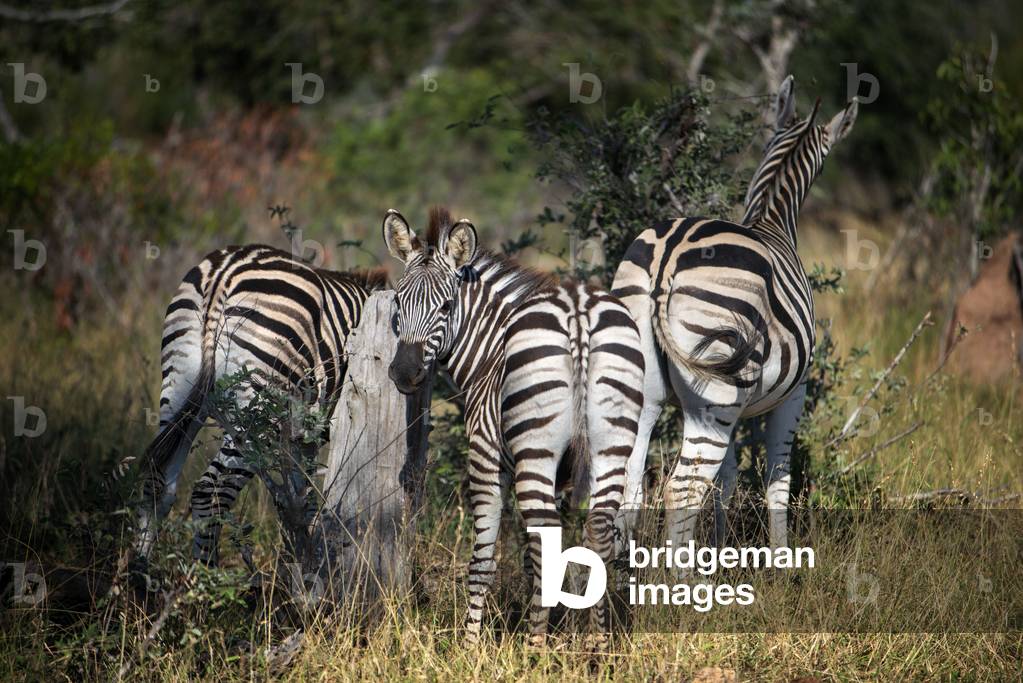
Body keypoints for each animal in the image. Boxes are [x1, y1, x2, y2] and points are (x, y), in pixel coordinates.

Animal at [133, 244, 386, 568]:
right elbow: (305, 495)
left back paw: (138, 575)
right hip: (256, 409)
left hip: (178, 385)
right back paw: (207, 576)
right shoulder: (316, 428)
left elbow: (300, 497)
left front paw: (299, 558)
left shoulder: (301, 433)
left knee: (158, 482)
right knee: (210, 493)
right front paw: (309, 561)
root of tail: (222, 275)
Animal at [382, 207, 644, 644]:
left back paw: (535, 645)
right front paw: (558, 622)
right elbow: (538, 558)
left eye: (447, 306)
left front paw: (470, 645)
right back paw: (598, 644)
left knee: (549, 536)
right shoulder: (564, 477)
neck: (490, 352)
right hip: (611, 444)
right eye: (398, 303)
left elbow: (484, 560)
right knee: (597, 531)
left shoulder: (486, 456)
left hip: (535, 451)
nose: (404, 373)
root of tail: (578, 308)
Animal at [611, 75, 858, 551]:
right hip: (715, 390)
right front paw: (782, 558)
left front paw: (721, 550)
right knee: (682, 489)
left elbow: (724, 484)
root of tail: (668, 256)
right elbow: (777, 481)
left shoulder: (738, 410)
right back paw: (676, 573)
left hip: (648, 385)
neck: (771, 219)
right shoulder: (794, 393)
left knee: (628, 483)